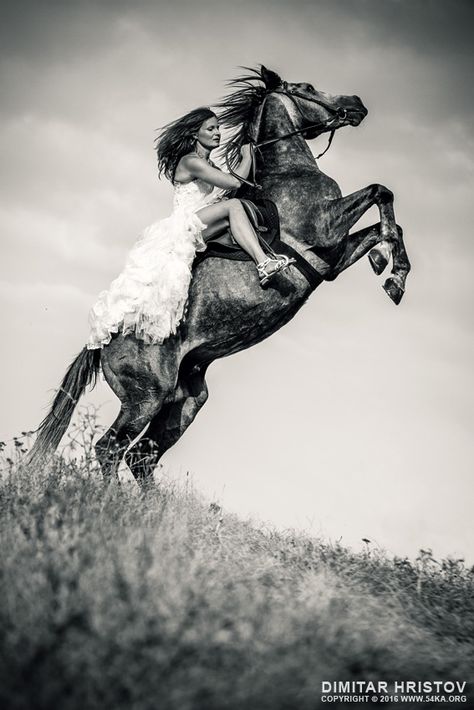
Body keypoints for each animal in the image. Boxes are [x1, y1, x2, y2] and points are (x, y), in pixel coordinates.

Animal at [26, 65, 412, 484]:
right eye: (308, 87)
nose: (356, 104)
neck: (290, 170)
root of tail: (101, 339)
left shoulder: (332, 258)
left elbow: (386, 225)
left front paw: (389, 270)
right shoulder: (325, 227)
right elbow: (381, 192)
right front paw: (390, 270)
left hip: (187, 399)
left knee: (142, 455)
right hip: (146, 397)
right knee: (110, 448)